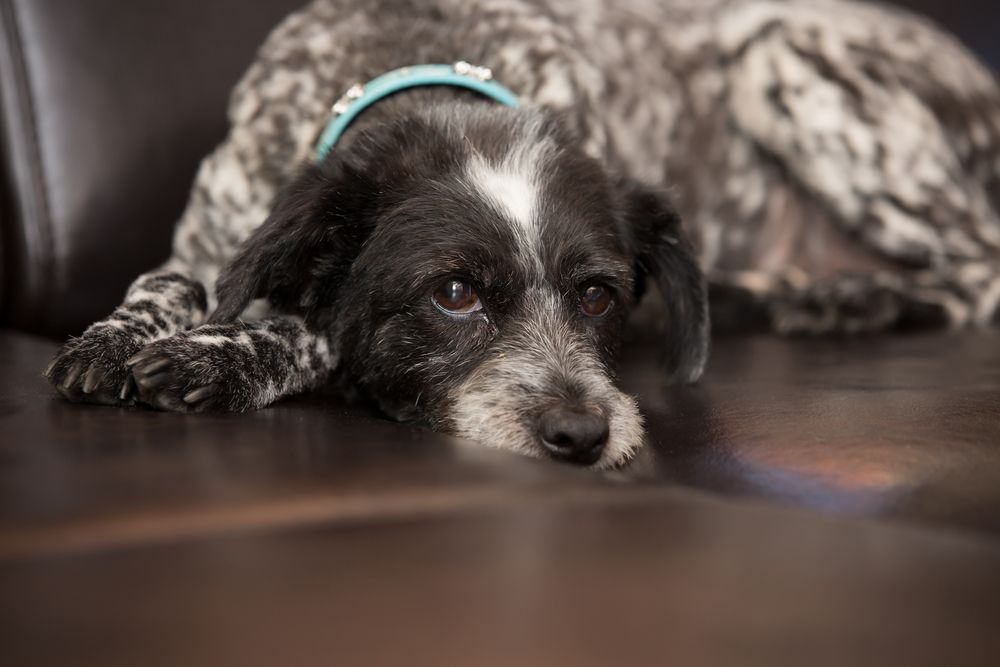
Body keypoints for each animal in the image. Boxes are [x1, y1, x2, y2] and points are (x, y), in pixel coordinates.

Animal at [43, 0, 1000, 470]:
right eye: (454, 294)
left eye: (599, 296)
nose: (583, 433)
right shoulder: (209, 235)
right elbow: (166, 283)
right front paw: (111, 338)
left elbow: (317, 327)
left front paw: (222, 352)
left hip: (784, 54)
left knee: (981, 267)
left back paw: (843, 297)